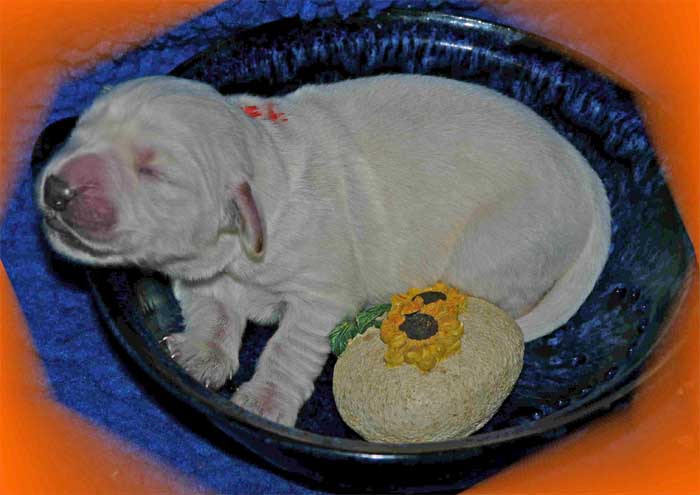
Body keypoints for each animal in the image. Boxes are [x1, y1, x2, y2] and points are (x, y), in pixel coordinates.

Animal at [37, 74, 610, 427]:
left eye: (153, 170)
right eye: (80, 133)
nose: (55, 189)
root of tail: (586, 176)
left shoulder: (320, 295)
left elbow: (288, 347)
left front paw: (265, 398)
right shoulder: (202, 274)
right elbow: (213, 311)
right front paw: (203, 353)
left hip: (496, 245)